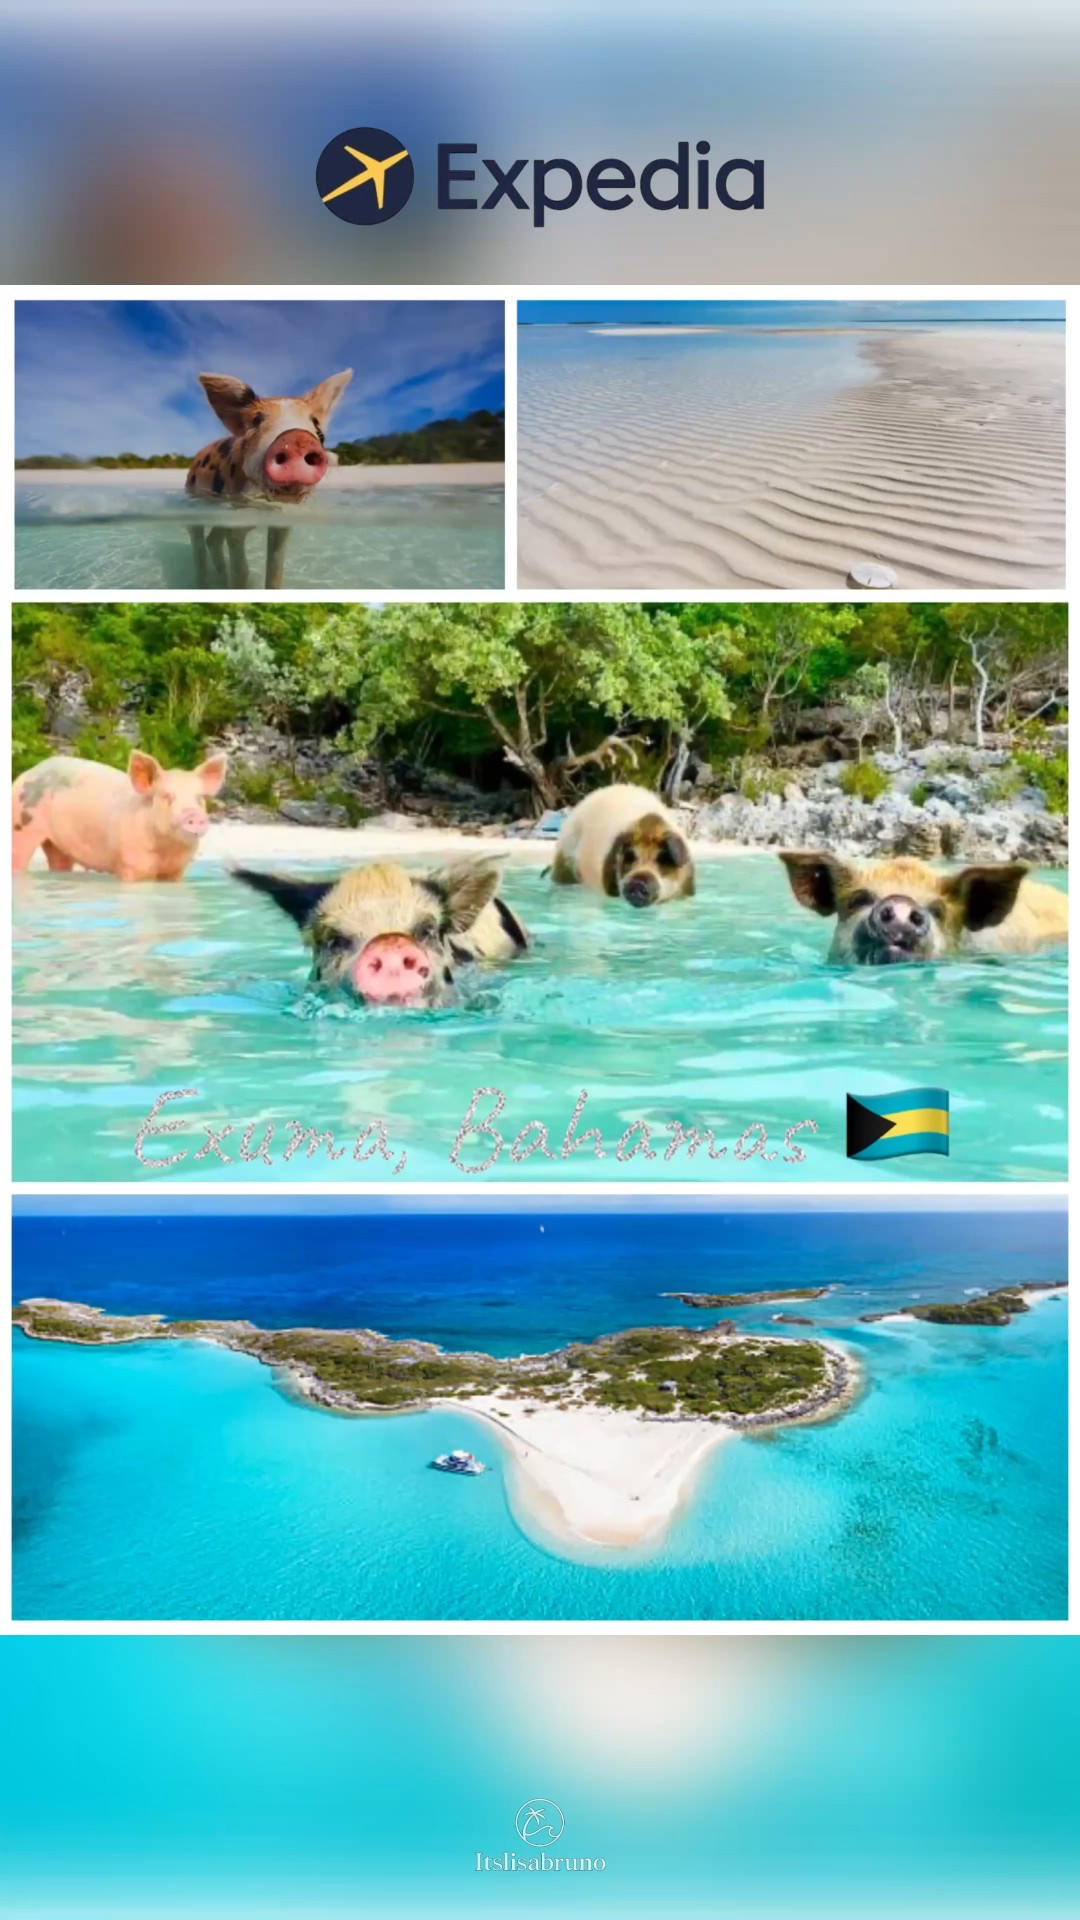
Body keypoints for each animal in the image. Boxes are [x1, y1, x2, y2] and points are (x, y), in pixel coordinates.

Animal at [12, 750, 228, 882]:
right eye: (167, 796)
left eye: (199, 798)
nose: (194, 814)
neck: (166, 849)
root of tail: (28, 772)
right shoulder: (131, 864)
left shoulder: (177, 870)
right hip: (20, 822)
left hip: (57, 844)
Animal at [185, 368, 353, 588]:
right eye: (256, 421)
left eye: (317, 426)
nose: (296, 438)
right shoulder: (236, 520)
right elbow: (241, 570)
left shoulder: (282, 524)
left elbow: (275, 570)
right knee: (198, 541)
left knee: (212, 540)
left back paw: (221, 579)